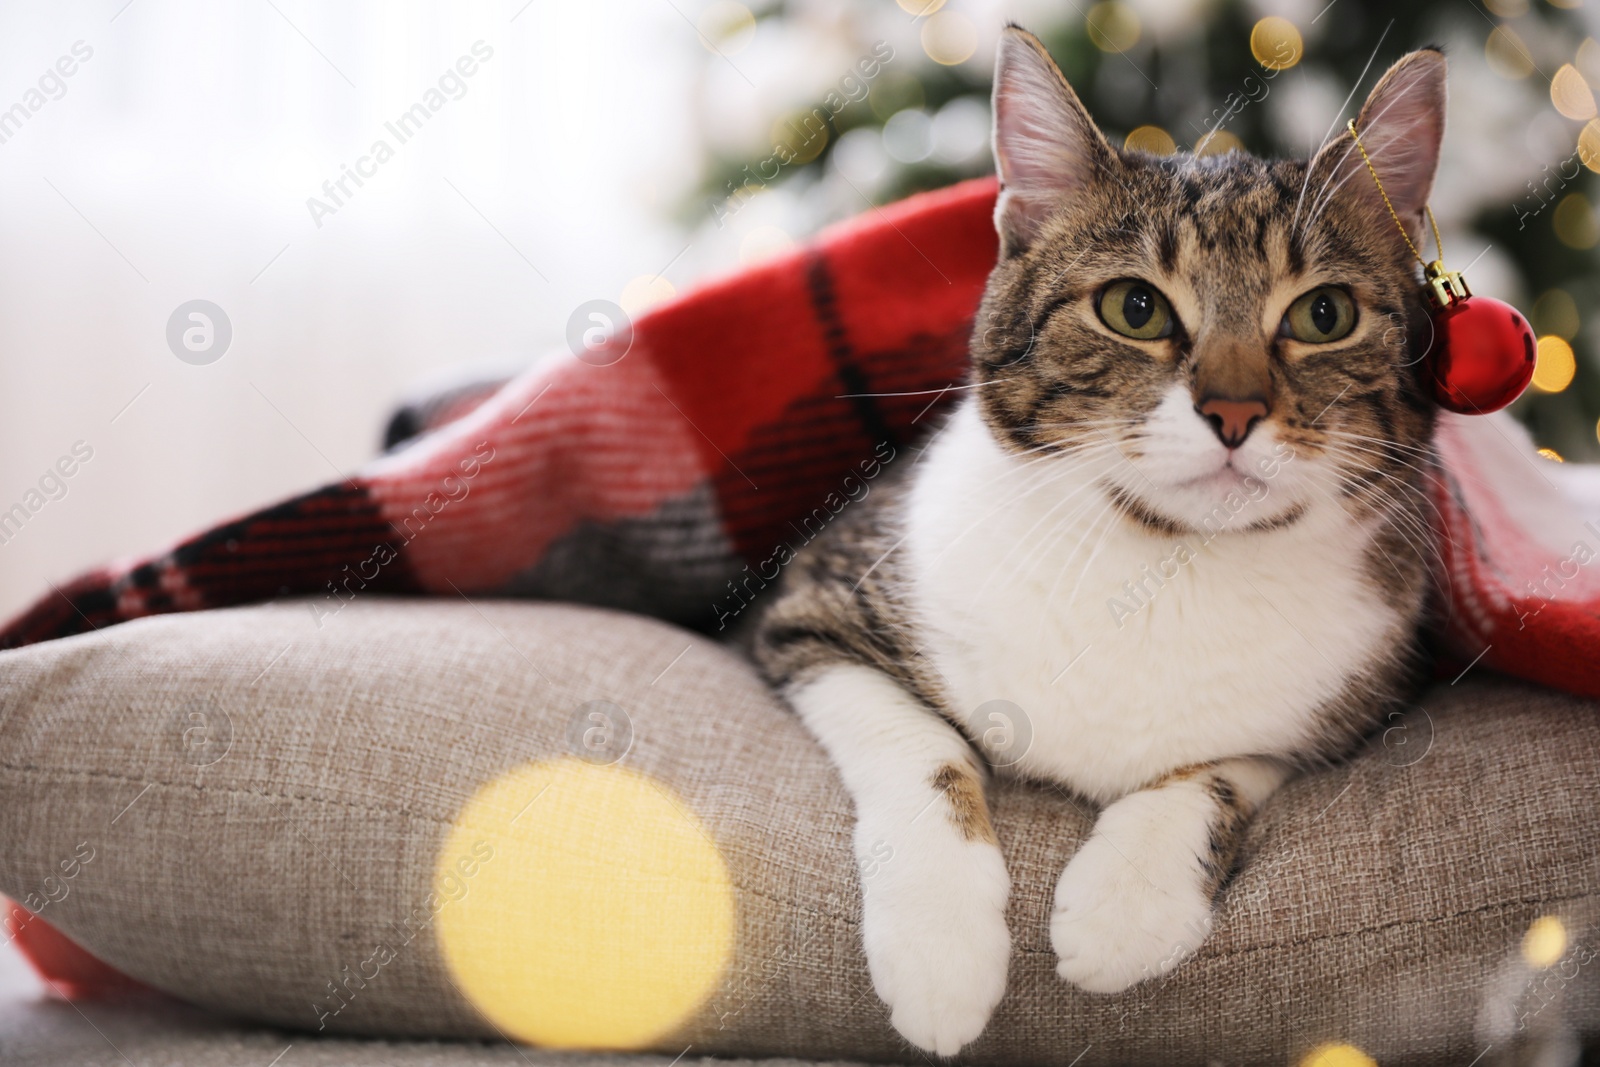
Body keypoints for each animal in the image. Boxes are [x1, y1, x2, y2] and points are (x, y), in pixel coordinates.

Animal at [755, 27, 1446, 1062]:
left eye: (1325, 315)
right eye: (1135, 308)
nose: (1233, 411)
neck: (1163, 562)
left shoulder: (1355, 693)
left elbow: (1226, 766)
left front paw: (1132, 899)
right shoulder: (815, 602)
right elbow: (920, 740)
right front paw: (939, 951)